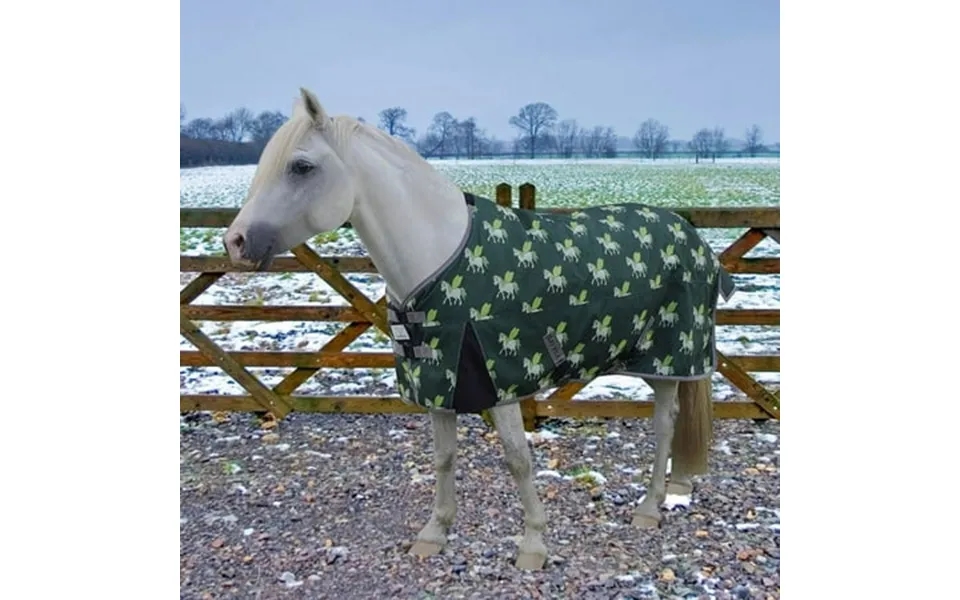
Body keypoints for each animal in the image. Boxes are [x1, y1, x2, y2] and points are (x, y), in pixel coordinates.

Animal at [222, 87, 735, 571]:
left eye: (301, 166)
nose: (236, 242)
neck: (438, 257)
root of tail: (694, 238)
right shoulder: (439, 383)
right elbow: (444, 457)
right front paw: (434, 534)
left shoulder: (500, 382)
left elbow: (518, 459)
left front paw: (533, 545)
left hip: (671, 358)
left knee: (664, 425)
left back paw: (648, 508)